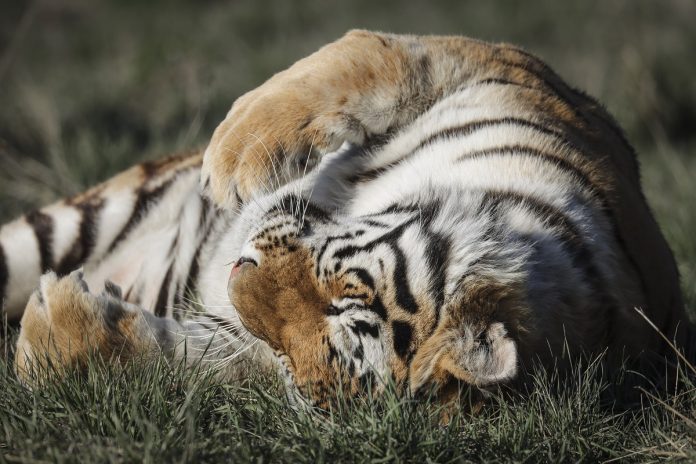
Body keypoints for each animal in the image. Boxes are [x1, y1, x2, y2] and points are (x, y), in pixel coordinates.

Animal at [4, 30, 692, 409]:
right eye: (344, 293)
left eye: (291, 355)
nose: (234, 279)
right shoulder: (497, 67)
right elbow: (368, 57)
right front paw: (236, 155)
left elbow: (181, 357)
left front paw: (51, 338)